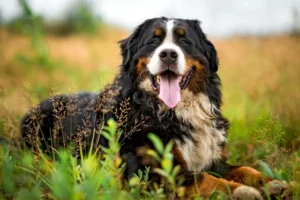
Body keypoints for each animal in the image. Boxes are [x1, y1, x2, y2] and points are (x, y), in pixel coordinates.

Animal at [21, 17, 290, 200]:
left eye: (184, 40)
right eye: (153, 40)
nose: (169, 54)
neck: (171, 112)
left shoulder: (210, 158)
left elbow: (243, 167)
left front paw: (272, 182)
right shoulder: (149, 173)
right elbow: (206, 179)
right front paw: (243, 192)